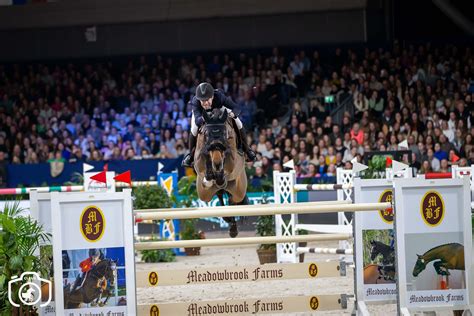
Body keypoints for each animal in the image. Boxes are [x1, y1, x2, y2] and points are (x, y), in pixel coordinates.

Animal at [194, 107, 250, 237]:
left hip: (238, 189)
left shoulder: (233, 158)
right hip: (204, 194)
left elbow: (228, 156)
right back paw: (229, 221)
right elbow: (204, 153)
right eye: (206, 134)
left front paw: (219, 177)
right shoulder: (198, 159)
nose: (217, 164)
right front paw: (210, 178)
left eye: (224, 134)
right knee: (220, 195)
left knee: (233, 199)